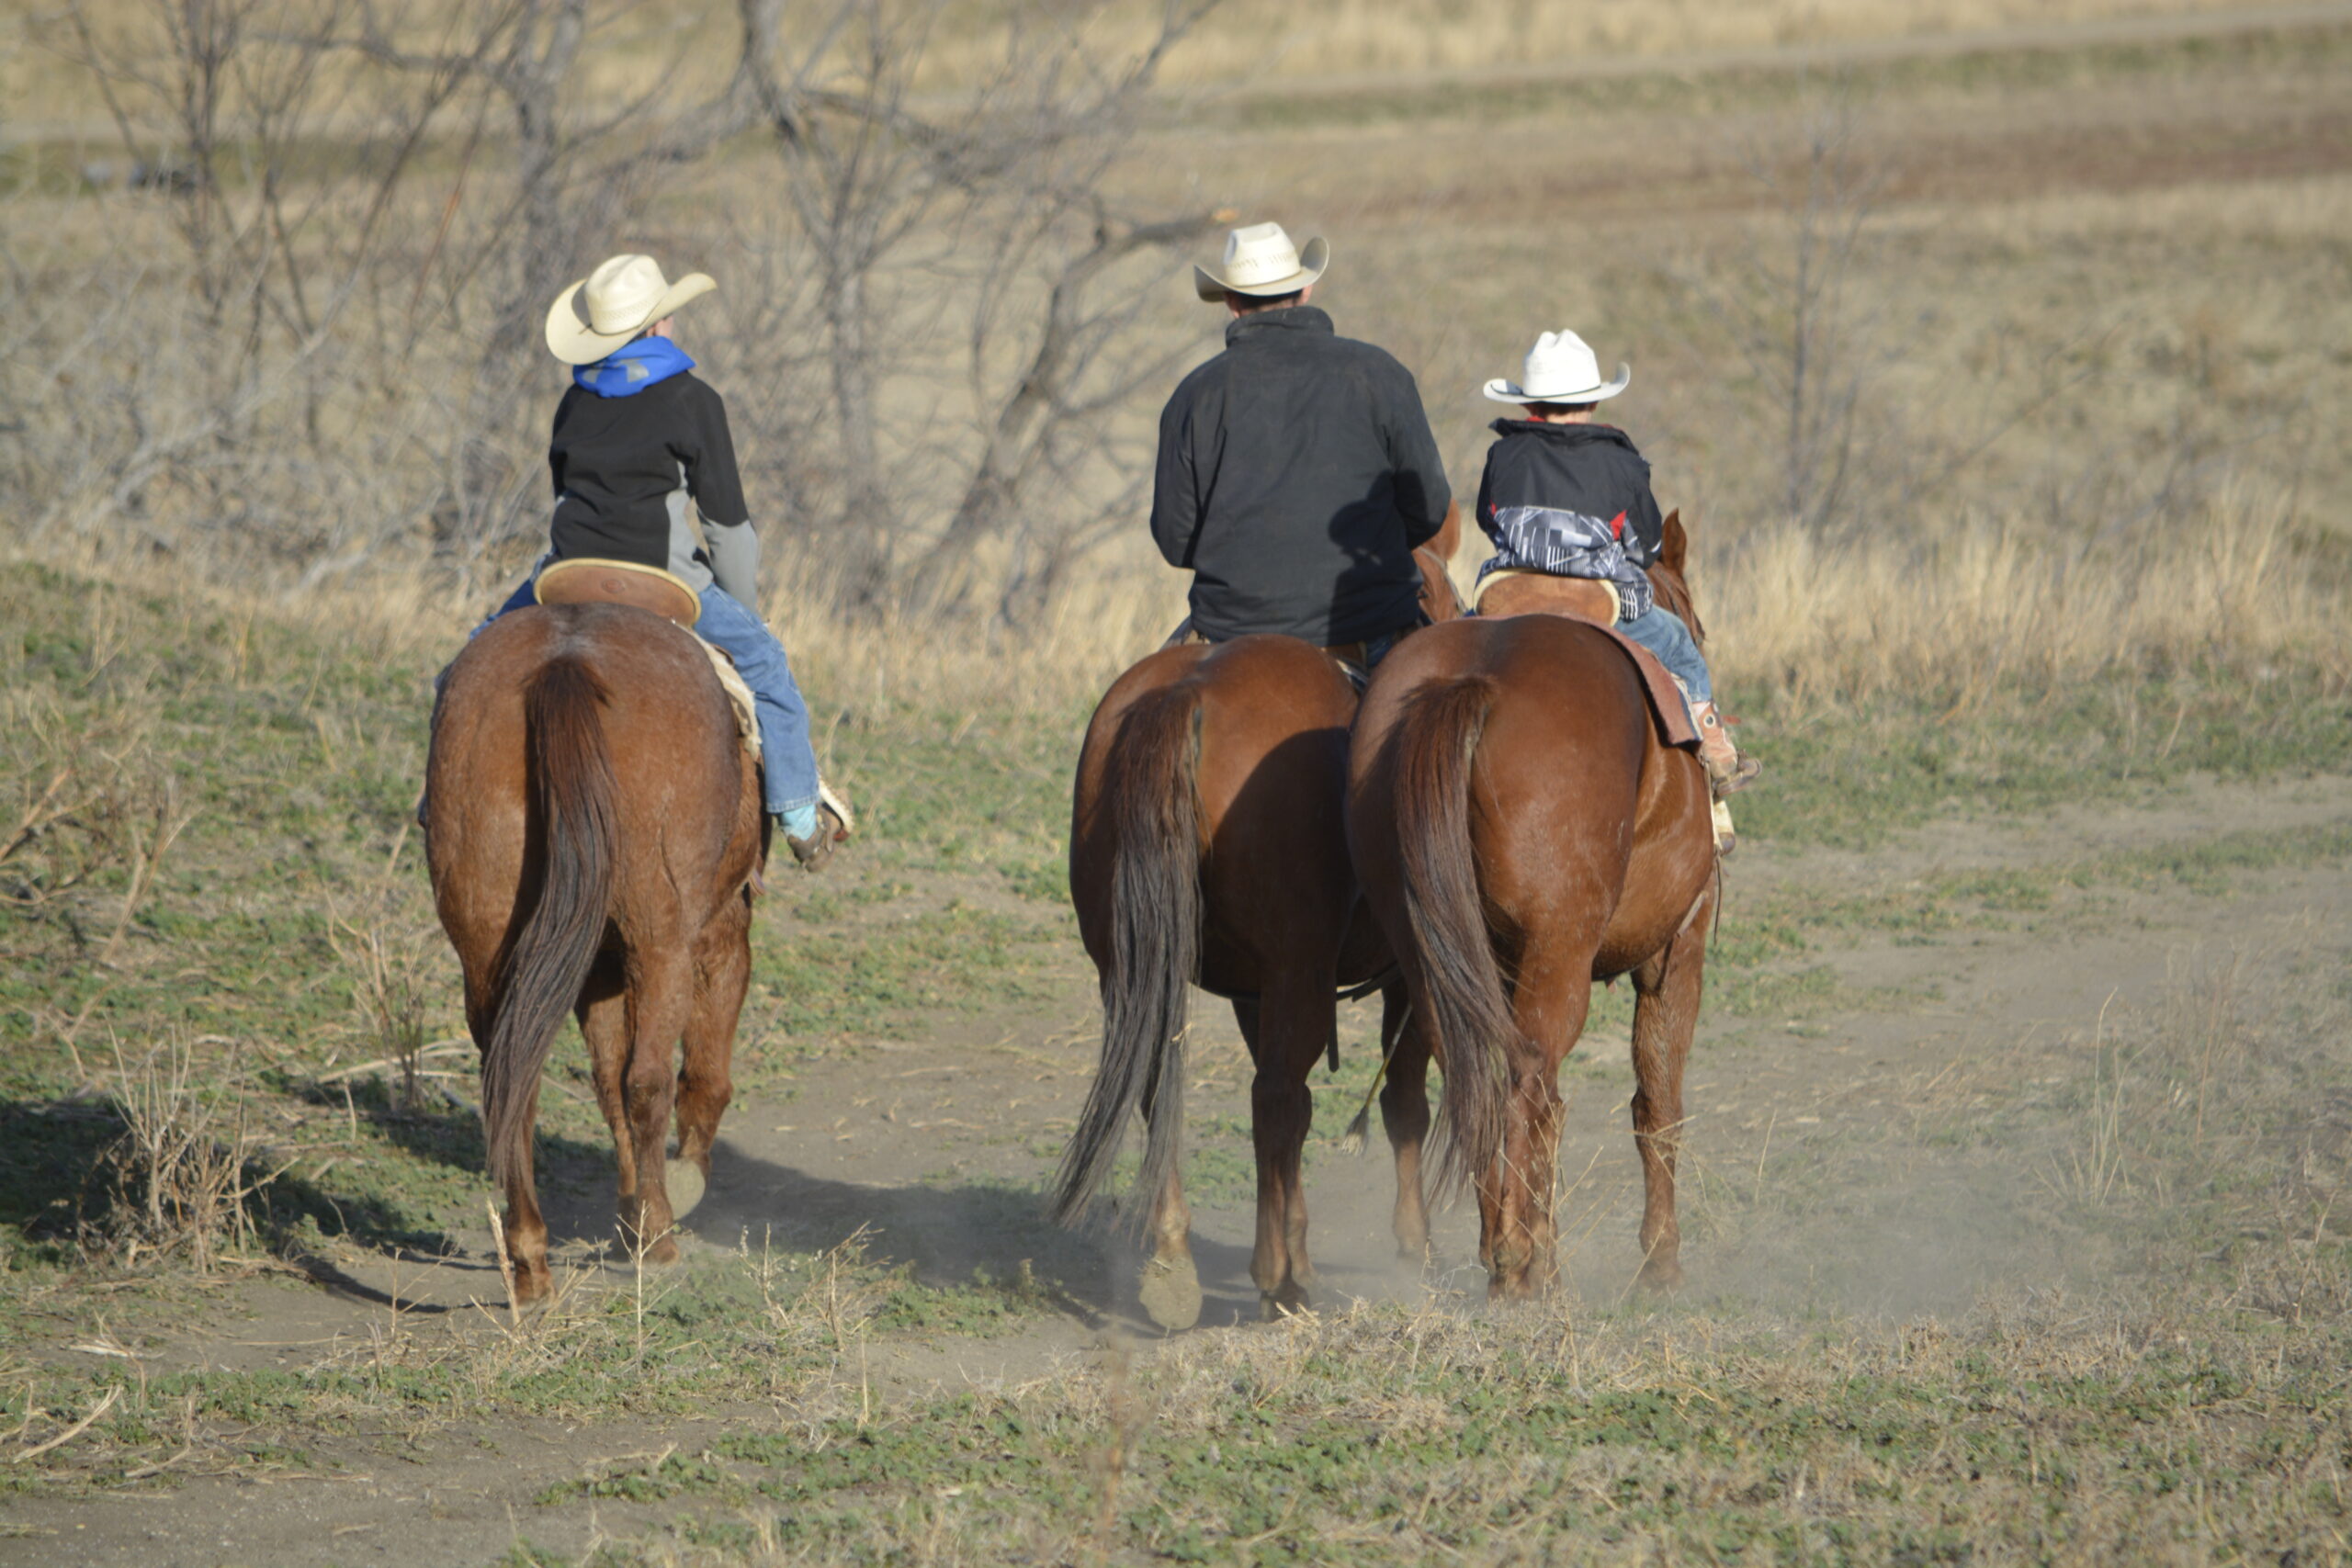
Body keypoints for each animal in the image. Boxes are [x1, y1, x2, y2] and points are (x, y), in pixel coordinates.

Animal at [425, 601, 763, 1302]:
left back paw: (532, 1260)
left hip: (488, 944)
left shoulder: (595, 968)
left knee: (514, 1082)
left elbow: (604, 1079)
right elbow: (698, 1073)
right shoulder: (718, 931)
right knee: (649, 1079)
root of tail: (565, 664)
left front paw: (629, 1209)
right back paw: (659, 1238)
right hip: (663, 939)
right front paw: (677, 1187)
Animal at [1051, 515, 1462, 1329]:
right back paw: (1282, 1275)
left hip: (1134, 969)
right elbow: (1402, 1101)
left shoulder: (1253, 986)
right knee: (1276, 1098)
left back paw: (1174, 1264)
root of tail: (1188, 692)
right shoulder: (1400, 973)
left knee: (1165, 1087)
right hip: (1298, 967)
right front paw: (1413, 1245)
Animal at [1346, 513, 1719, 1299]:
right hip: (1559, 960)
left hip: (1434, 965)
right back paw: (1525, 1261)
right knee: (1531, 1087)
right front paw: (1661, 1259)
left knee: (1479, 1083)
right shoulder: (1679, 948)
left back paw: (1507, 1253)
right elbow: (1657, 1100)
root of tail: (1474, 681)